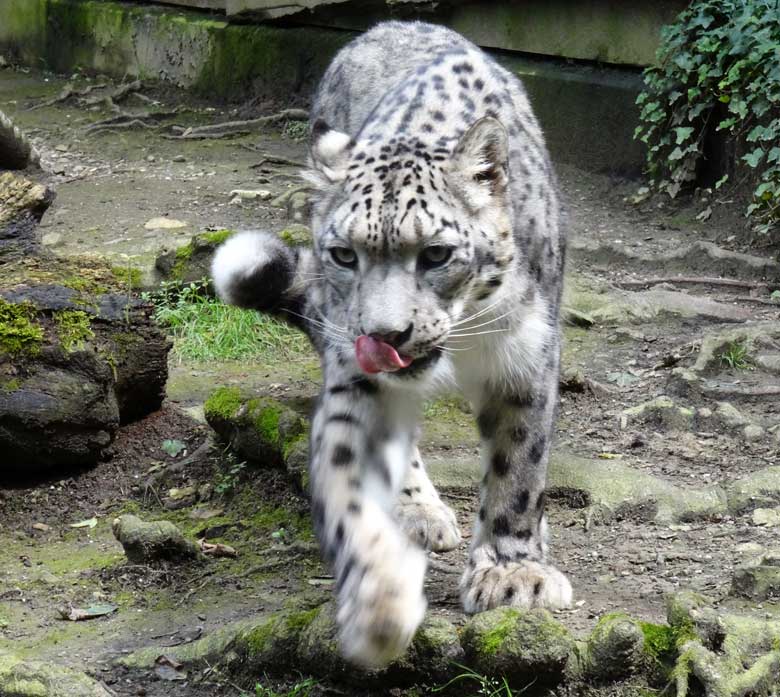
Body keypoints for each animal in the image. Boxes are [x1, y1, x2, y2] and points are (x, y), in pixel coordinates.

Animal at [210, 19, 568, 668]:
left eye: (437, 254)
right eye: (344, 253)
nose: (384, 336)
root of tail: (386, 24)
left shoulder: (527, 359)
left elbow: (519, 466)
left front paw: (513, 574)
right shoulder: (356, 382)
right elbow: (348, 488)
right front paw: (379, 605)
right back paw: (416, 509)